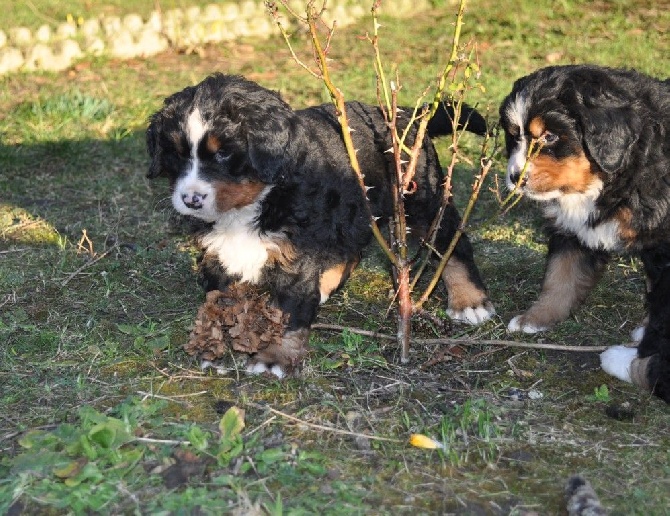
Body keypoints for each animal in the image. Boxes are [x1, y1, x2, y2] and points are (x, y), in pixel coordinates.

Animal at [150, 72, 496, 376]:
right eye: (176, 155)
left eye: (223, 153)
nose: (191, 199)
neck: (252, 204)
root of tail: (405, 114)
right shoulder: (217, 253)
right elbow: (219, 304)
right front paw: (215, 347)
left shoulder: (295, 250)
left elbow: (287, 312)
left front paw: (274, 359)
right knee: (351, 250)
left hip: (420, 200)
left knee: (451, 240)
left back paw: (469, 301)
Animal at [502, 64, 670, 404]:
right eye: (513, 136)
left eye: (550, 136)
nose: (515, 177)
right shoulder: (574, 231)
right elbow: (560, 277)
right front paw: (535, 318)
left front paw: (639, 356)